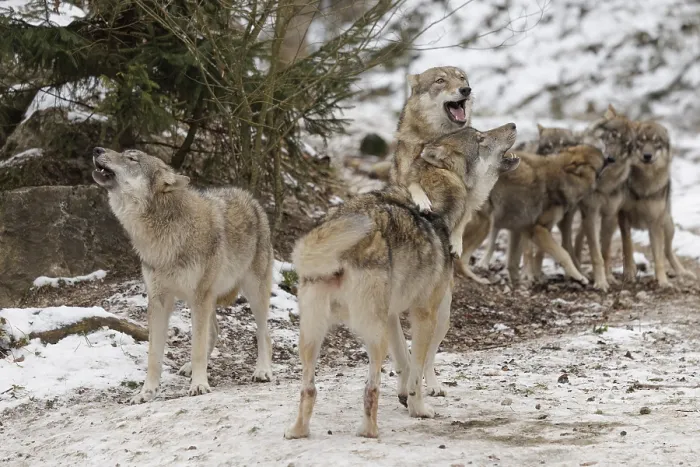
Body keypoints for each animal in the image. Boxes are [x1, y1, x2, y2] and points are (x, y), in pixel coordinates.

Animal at [92, 147, 274, 403]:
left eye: (131, 158)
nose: (97, 149)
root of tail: (250, 197)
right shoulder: (159, 301)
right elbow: (154, 356)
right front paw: (146, 392)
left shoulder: (200, 297)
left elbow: (196, 347)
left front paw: (199, 385)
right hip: (202, 299)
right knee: (215, 331)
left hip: (250, 294)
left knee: (264, 334)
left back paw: (263, 371)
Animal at [284, 123, 517, 440]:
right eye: (480, 138)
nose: (514, 125)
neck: (435, 208)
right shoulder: (424, 315)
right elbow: (416, 366)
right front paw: (418, 407)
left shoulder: (393, 315)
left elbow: (405, 362)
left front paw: (406, 396)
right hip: (395, 329)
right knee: (371, 388)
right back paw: (370, 431)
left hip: (312, 335)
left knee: (308, 388)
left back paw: (298, 431)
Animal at [618, 120, 696, 287]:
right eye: (641, 141)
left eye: (656, 142)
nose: (647, 156)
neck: (645, 184)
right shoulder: (623, 217)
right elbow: (627, 247)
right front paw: (629, 272)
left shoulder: (654, 224)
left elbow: (659, 258)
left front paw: (663, 281)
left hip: (668, 226)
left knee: (667, 251)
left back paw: (682, 272)